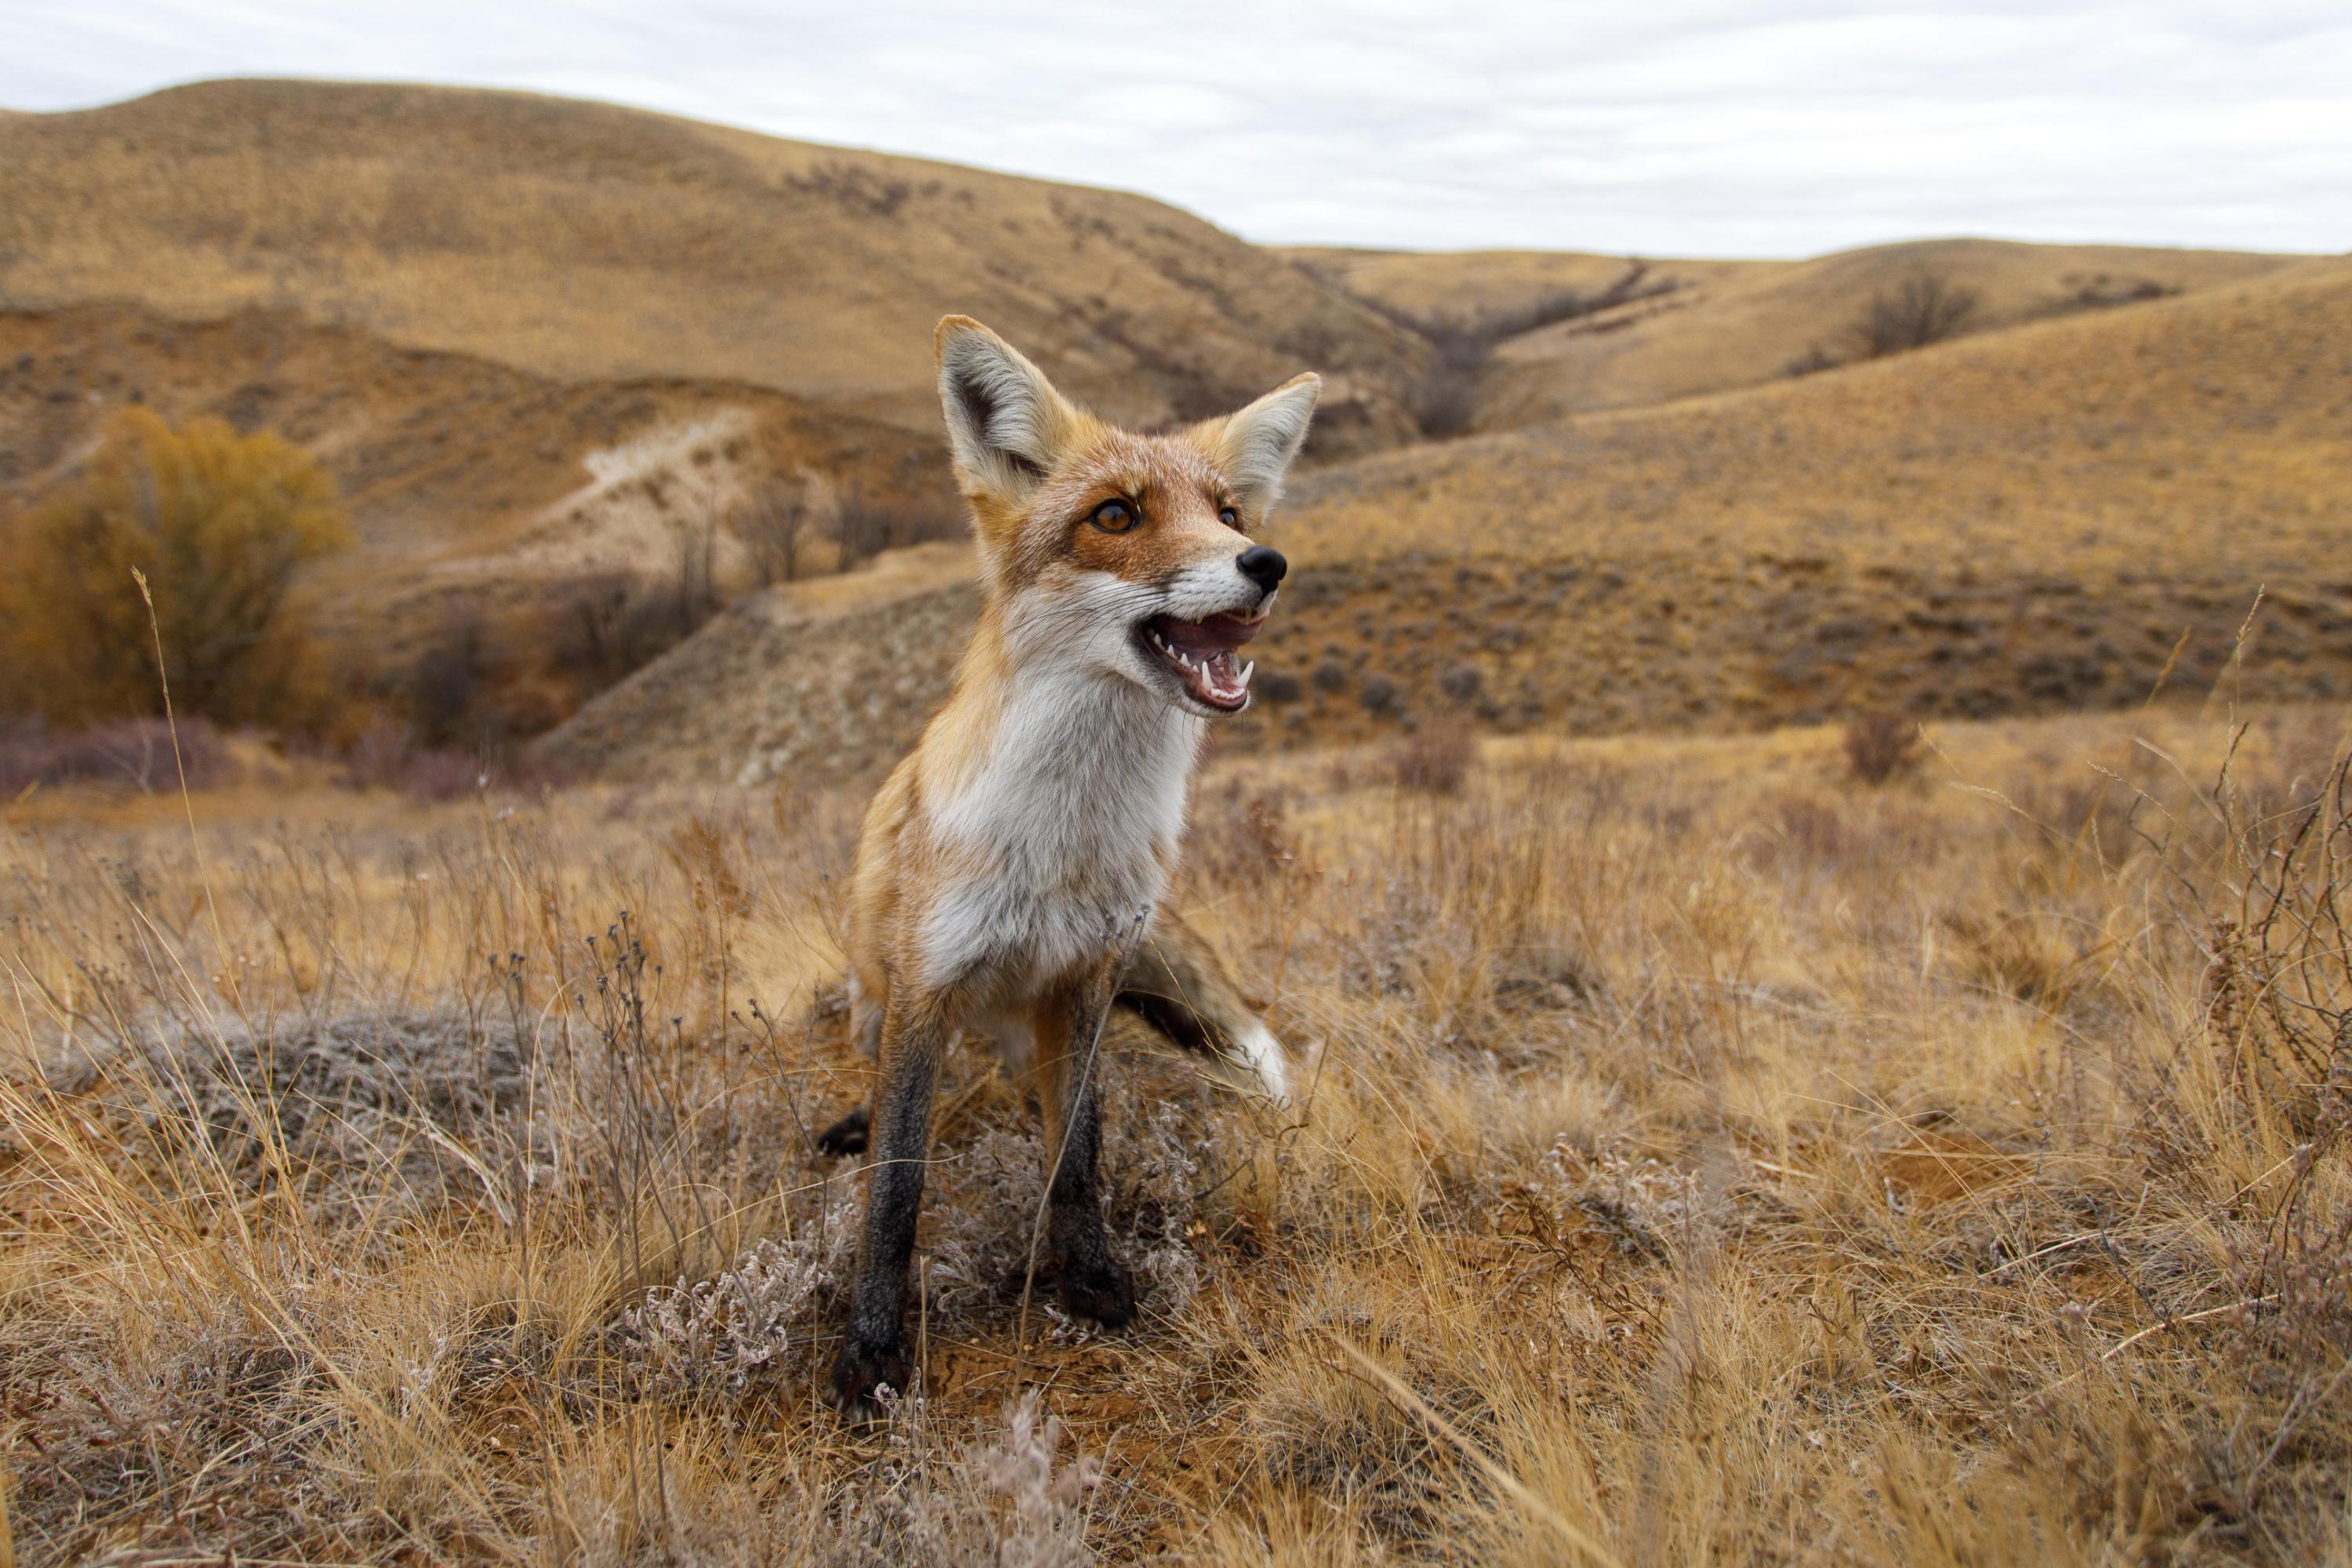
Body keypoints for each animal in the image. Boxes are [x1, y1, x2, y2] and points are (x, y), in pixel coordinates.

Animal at [818, 314, 1317, 1410]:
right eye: (1116, 514)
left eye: (1226, 512)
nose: (1266, 561)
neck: (1067, 842)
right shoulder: (927, 985)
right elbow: (898, 1180)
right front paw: (874, 1343)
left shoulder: (1089, 976)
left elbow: (1079, 1152)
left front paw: (1087, 1275)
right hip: (876, 987)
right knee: (874, 1075)